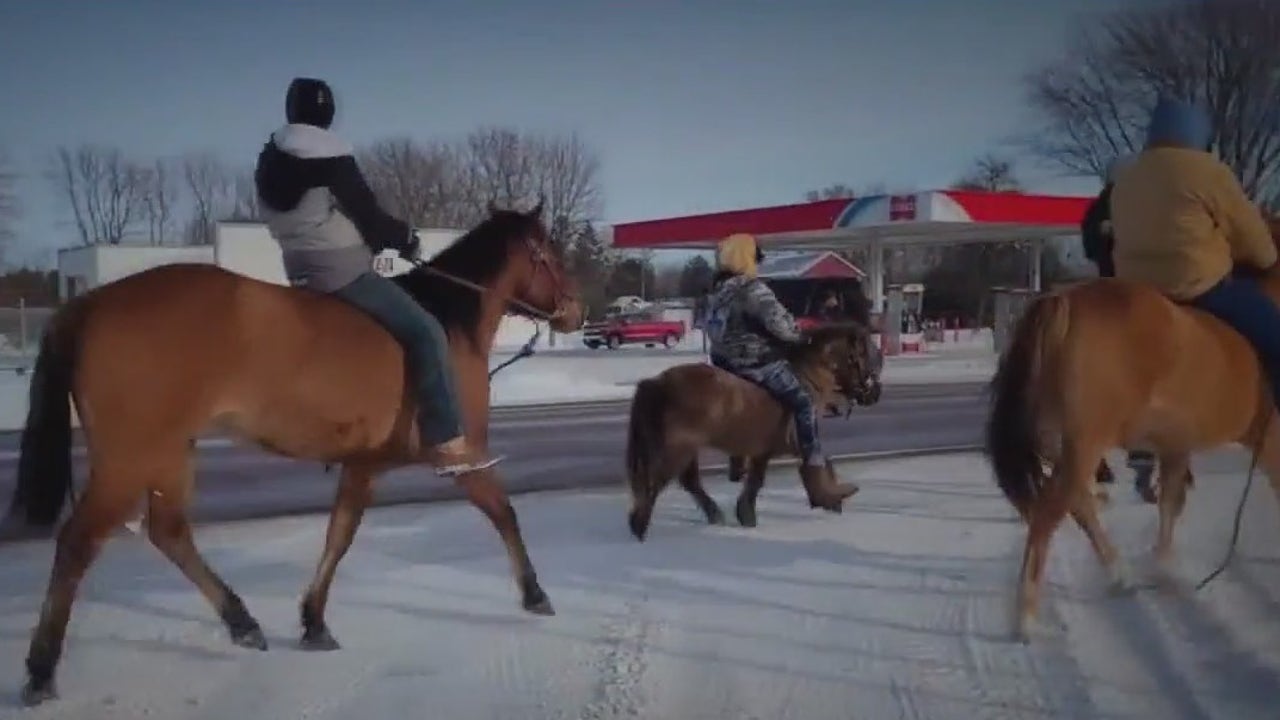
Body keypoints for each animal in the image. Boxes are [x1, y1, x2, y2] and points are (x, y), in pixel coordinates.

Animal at [2, 198, 583, 702]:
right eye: (551, 254)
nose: (577, 312)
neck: (446, 319)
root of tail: (87, 304)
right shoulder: (459, 456)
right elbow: (503, 513)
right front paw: (535, 593)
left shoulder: (363, 465)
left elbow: (340, 535)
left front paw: (314, 621)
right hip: (129, 459)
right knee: (78, 542)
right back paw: (41, 669)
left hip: (168, 452)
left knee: (168, 532)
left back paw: (241, 621)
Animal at [622, 322, 880, 540]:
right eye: (862, 353)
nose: (874, 393)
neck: (807, 377)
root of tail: (657, 383)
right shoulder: (800, 438)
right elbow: (821, 462)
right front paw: (830, 498)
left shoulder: (761, 451)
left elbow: (756, 481)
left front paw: (746, 515)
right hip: (677, 449)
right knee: (655, 483)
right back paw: (639, 527)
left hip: (686, 449)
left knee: (688, 482)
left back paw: (713, 515)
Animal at [988, 212, 1280, 638]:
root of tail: (1062, 302)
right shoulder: (1271, 440)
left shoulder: (1176, 446)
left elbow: (1170, 503)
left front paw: (1164, 566)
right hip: (1083, 445)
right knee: (1048, 516)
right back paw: (1025, 618)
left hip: (1065, 446)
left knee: (1079, 505)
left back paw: (1119, 574)